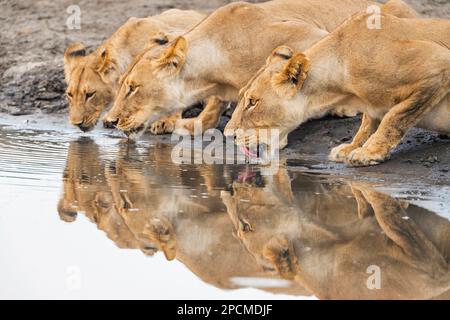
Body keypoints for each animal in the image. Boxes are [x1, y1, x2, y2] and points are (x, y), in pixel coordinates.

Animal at [103, 0, 418, 139]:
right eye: (121, 85)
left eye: (132, 87)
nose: (110, 121)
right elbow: (214, 108)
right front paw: (195, 123)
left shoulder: (313, 36)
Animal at [227, 13, 448, 165]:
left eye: (253, 102)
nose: (228, 136)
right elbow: (368, 122)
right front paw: (352, 146)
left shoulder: (438, 64)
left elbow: (395, 117)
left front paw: (369, 153)